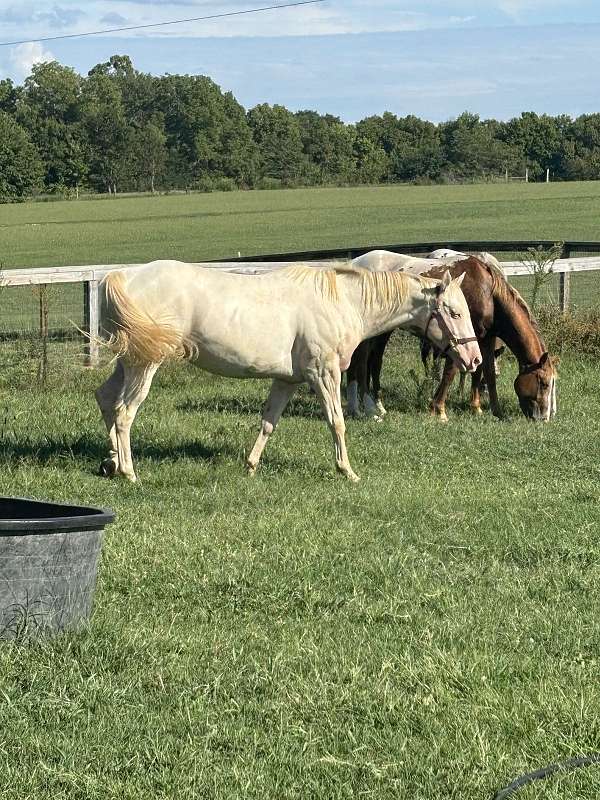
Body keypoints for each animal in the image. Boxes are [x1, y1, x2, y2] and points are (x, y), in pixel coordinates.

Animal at [94, 260, 480, 482]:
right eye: (455, 313)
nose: (475, 359)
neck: (342, 302)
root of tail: (122, 276)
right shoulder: (324, 374)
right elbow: (337, 421)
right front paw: (347, 470)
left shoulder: (287, 380)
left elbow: (269, 423)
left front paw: (250, 466)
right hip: (145, 364)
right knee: (124, 412)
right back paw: (128, 472)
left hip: (127, 362)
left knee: (106, 400)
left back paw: (111, 462)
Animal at [346, 255, 556, 424]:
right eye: (544, 383)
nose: (544, 418)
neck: (488, 293)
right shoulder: (457, 340)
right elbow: (450, 372)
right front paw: (438, 409)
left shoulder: (484, 339)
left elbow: (484, 372)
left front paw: (488, 409)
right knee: (373, 363)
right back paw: (374, 405)